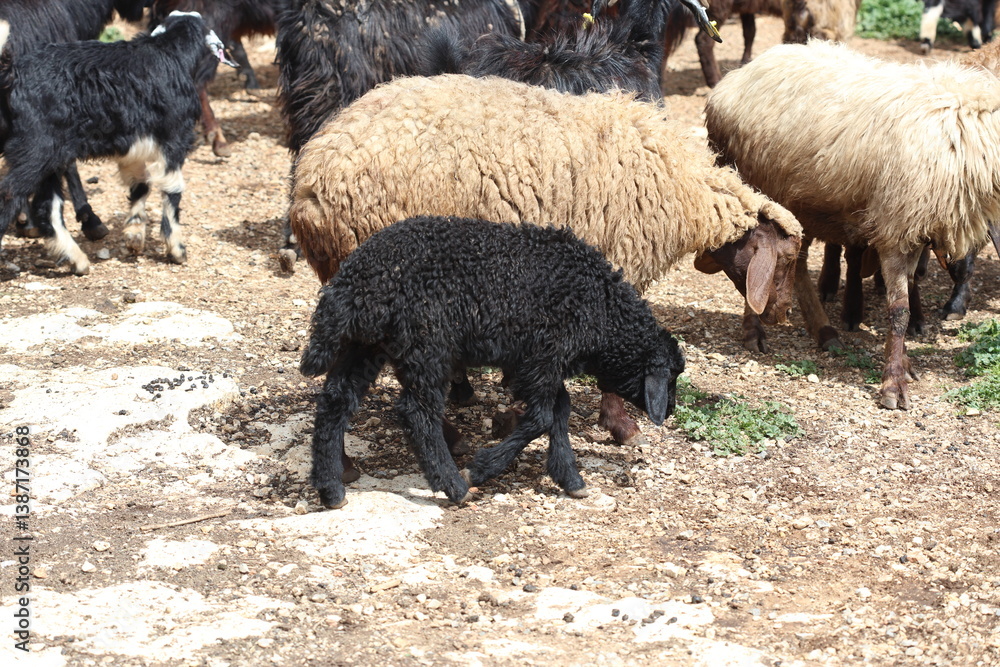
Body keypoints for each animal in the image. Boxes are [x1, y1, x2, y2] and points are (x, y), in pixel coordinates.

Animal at [289, 73, 803, 444]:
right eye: (788, 259)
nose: (781, 314)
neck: (684, 190)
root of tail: (310, 185)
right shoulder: (614, 267)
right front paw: (622, 428)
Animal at [300, 216, 685, 508]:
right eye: (671, 377)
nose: (668, 411)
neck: (601, 309)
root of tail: (353, 283)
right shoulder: (543, 357)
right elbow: (544, 416)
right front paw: (481, 468)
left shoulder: (536, 361)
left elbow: (559, 411)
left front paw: (570, 478)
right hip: (426, 344)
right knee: (417, 412)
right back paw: (455, 486)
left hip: (365, 345)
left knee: (335, 402)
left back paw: (331, 489)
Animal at [705, 39, 1000, 410]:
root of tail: (738, 76)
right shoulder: (895, 228)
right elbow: (898, 310)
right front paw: (893, 384)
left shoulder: (913, 229)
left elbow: (908, 293)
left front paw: (902, 366)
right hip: (753, 186)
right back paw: (755, 332)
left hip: (805, 203)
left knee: (798, 265)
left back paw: (824, 332)